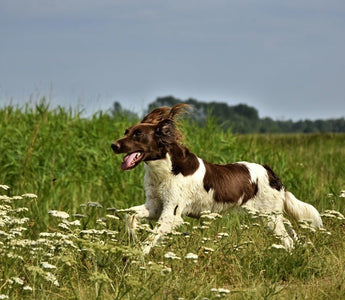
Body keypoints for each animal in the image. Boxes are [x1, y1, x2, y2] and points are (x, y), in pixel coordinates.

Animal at [111, 103, 322, 253]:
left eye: (138, 134)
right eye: (126, 132)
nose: (113, 145)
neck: (165, 168)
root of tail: (271, 173)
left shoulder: (171, 213)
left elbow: (148, 241)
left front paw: (136, 258)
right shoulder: (155, 205)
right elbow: (129, 215)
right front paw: (132, 236)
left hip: (269, 217)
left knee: (287, 240)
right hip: (270, 215)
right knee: (290, 231)